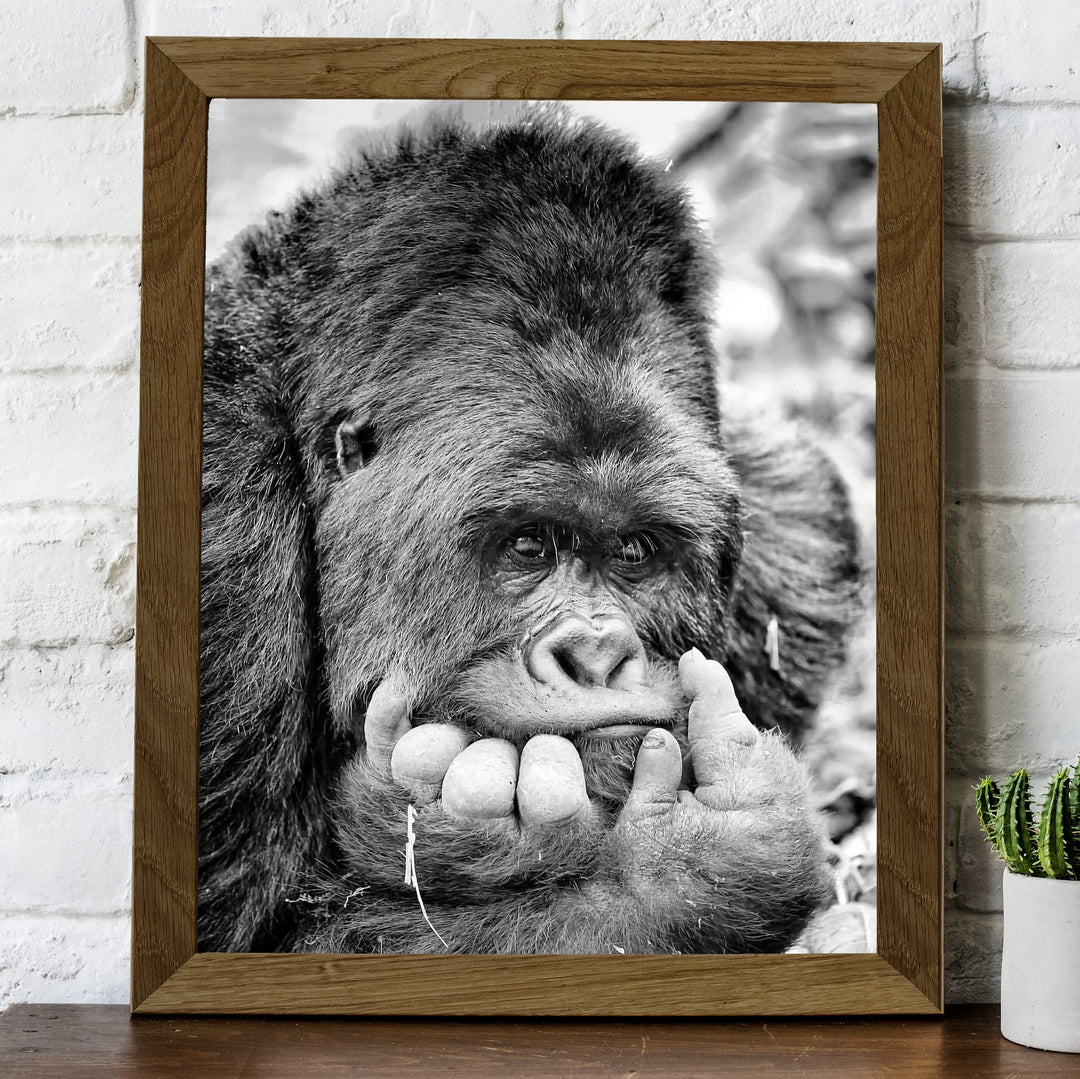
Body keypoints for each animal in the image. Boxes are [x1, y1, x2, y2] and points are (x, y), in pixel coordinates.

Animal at [197, 108, 861, 955]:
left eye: (636, 552)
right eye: (529, 545)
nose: (597, 655)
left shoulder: (796, 522)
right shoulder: (222, 538)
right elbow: (252, 930)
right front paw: (691, 868)